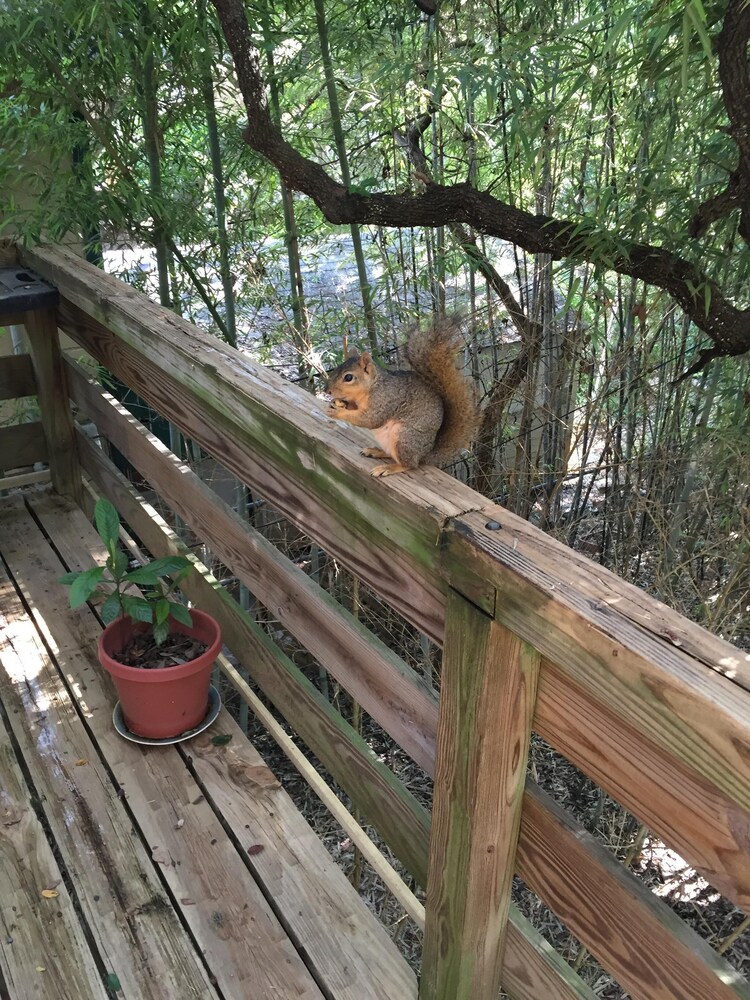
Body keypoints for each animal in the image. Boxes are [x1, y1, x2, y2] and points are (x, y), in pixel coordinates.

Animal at [326, 318, 478, 478]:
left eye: (348, 377)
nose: (326, 390)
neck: (371, 387)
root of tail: (424, 455)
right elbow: (356, 410)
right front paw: (338, 403)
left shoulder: (386, 400)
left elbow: (370, 419)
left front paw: (338, 411)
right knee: (391, 454)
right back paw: (376, 451)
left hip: (404, 437)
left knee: (410, 464)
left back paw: (388, 468)